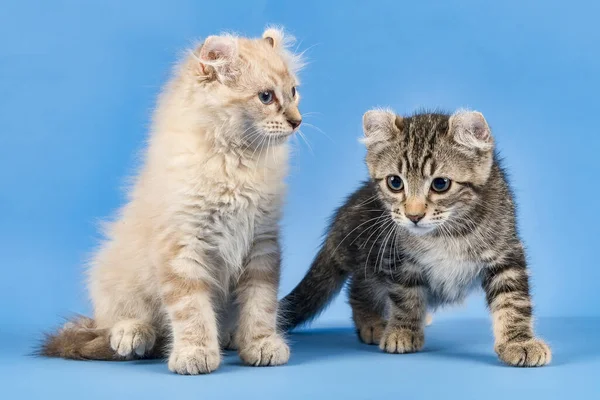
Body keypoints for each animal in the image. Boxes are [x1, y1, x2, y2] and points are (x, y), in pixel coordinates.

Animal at [41, 28, 304, 376]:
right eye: (265, 97)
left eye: (293, 92)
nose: (297, 121)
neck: (235, 162)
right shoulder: (182, 246)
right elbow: (191, 309)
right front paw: (195, 353)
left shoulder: (262, 244)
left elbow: (260, 303)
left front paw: (261, 344)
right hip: (112, 270)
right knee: (118, 319)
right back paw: (133, 334)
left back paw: (230, 336)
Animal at [282, 108, 552, 366]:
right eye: (395, 182)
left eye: (440, 184)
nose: (414, 215)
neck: (446, 233)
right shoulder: (398, 256)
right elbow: (406, 296)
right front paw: (403, 330)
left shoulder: (506, 251)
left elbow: (513, 300)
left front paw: (519, 341)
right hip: (370, 248)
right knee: (360, 284)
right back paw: (372, 322)